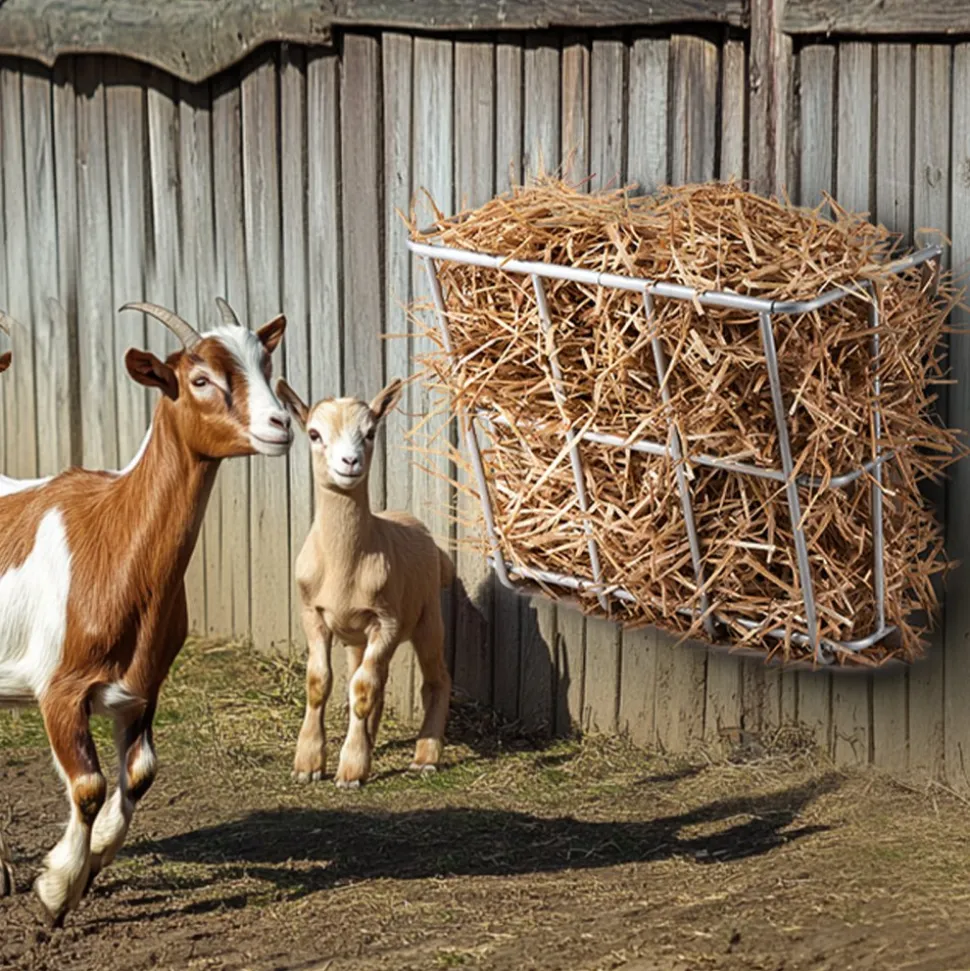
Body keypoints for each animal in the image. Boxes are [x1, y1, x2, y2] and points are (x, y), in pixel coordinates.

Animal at [0, 298, 292, 925]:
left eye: (265, 362)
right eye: (199, 379)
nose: (280, 424)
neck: (112, 536)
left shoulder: (143, 688)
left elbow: (139, 775)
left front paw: (88, 867)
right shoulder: (58, 689)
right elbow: (87, 787)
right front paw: (54, 894)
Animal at [276, 377, 453, 788]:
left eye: (370, 433)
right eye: (314, 434)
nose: (350, 462)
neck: (345, 562)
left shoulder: (385, 621)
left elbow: (361, 690)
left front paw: (351, 770)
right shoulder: (312, 613)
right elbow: (320, 683)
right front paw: (308, 763)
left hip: (428, 618)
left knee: (435, 679)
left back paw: (425, 757)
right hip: (358, 638)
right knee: (376, 682)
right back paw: (372, 740)